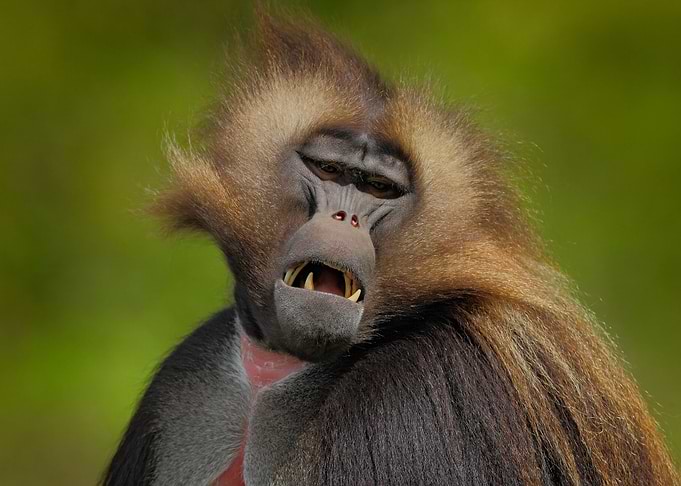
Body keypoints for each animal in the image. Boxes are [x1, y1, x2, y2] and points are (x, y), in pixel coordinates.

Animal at [103, 12, 679, 486]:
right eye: (329, 170)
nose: (345, 218)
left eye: (379, 188)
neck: (277, 371)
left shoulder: (412, 400)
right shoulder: (189, 376)